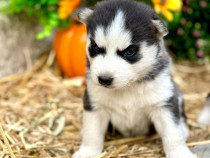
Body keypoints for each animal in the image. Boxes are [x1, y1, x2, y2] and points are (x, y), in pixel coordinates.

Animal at [73, 0, 196, 158]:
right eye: (95, 48)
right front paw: (87, 151)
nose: (104, 79)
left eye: (129, 52)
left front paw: (179, 153)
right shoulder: (95, 105)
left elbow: (173, 134)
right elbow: (91, 132)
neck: (128, 87)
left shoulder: (163, 104)